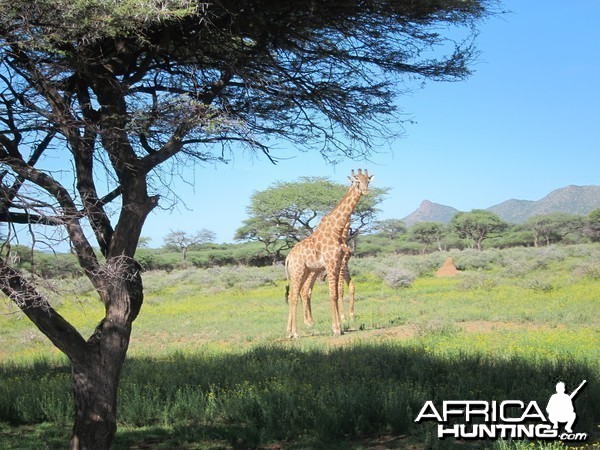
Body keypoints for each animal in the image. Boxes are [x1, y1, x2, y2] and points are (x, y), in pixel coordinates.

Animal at [284, 169, 372, 338]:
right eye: (357, 181)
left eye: (368, 180)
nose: (365, 191)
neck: (337, 230)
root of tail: (288, 257)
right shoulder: (332, 264)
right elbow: (333, 295)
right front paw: (337, 328)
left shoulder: (337, 264)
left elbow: (337, 293)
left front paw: (341, 327)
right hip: (298, 272)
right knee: (294, 296)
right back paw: (296, 333)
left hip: (305, 272)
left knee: (295, 294)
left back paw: (290, 332)